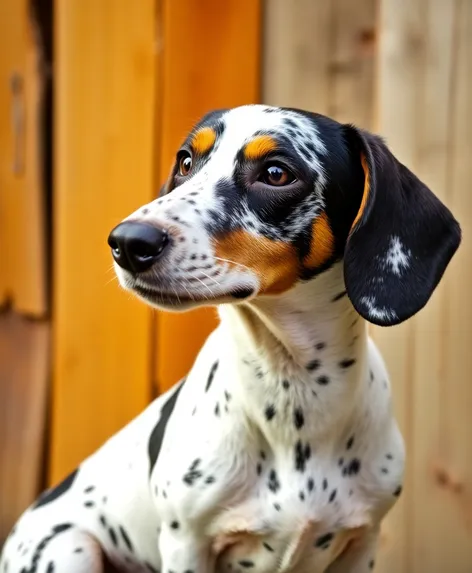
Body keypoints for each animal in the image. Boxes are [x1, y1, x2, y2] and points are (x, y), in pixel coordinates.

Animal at [0, 105, 460, 572]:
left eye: (276, 173)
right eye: (186, 162)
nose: (127, 242)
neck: (293, 397)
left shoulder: (362, 541)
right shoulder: (186, 544)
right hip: (69, 547)